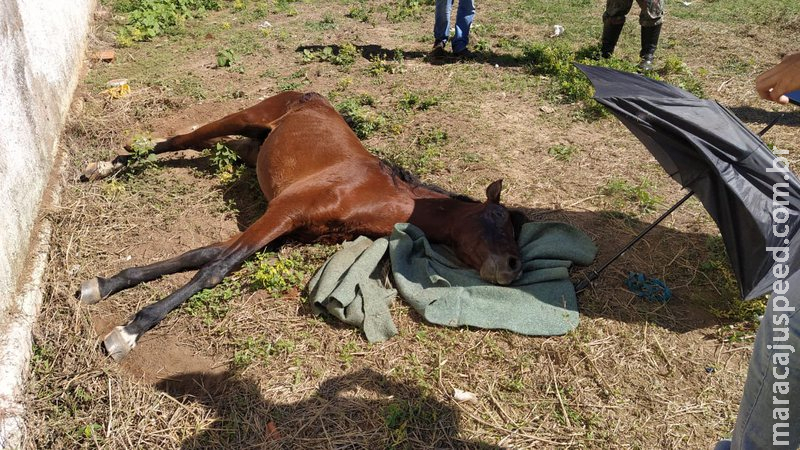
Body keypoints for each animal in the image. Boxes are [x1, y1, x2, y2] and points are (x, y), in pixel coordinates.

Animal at [79, 91, 524, 361]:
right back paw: (103, 167)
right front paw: (130, 330)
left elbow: (201, 255)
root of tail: (311, 95)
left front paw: (107, 284)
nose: (514, 269)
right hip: (242, 118)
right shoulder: (283, 212)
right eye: (498, 217)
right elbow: (214, 269)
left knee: (204, 145)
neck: (371, 193)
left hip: (250, 145)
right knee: (180, 140)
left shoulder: (284, 231)